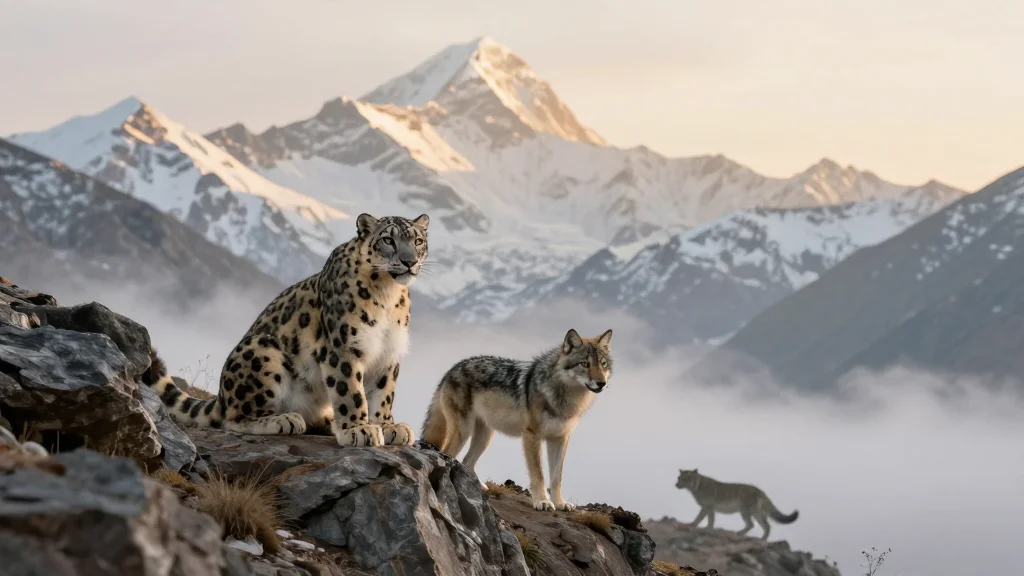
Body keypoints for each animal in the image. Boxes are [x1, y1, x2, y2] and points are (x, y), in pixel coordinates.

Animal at [421, 328, 613, 511]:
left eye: (603, 364)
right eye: (584, 364)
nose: (602, 383)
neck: (565, 399)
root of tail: (452, 369)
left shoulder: (560, 439)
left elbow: (556, 478)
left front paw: (560, 503)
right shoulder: (532, 436)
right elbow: (539, 475)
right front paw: (542, 501)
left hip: (485, 436)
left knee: (468, 461)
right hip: (463, 432)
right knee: (447, 453)